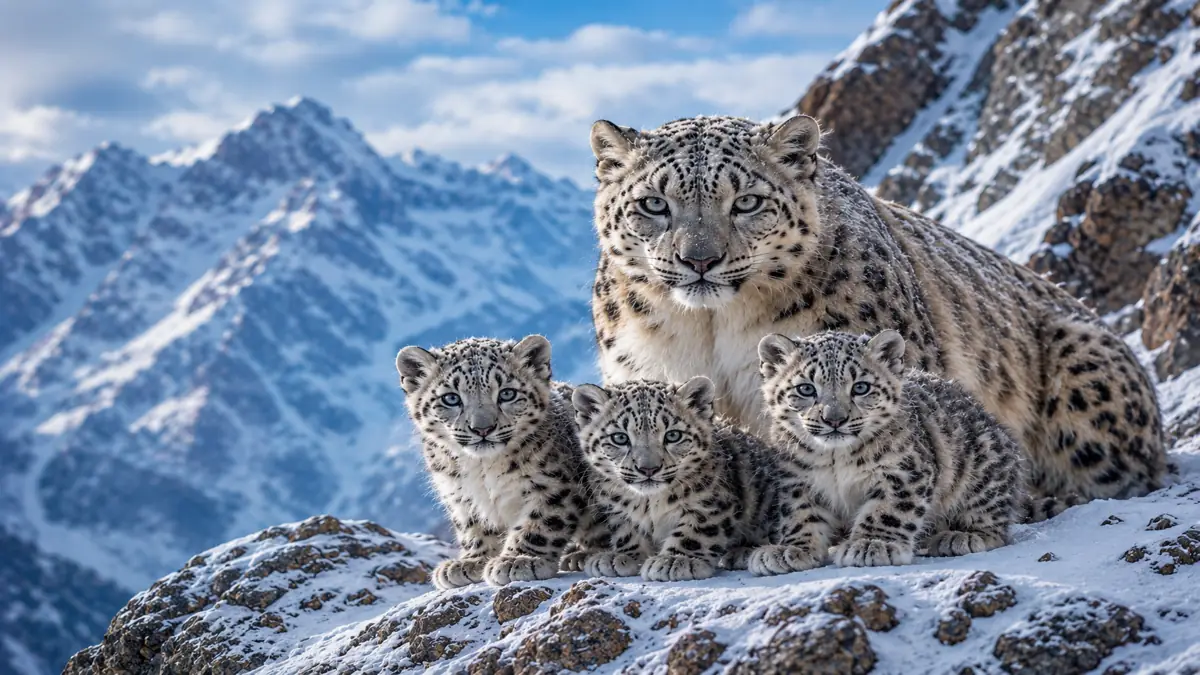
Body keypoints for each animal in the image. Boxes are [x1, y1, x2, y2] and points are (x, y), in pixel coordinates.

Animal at [395, 335, 606, 589]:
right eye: (451, 398)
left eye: (507, 394)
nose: (482, 428)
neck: (482, 468)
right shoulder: (460, 495)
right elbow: (473, 527)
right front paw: (472, 561)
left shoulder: (554, 487)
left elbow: (541, 523)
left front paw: (518, 560)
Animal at [571, 376, 776, 582]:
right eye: (620, 438)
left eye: (673, 435)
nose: (648, 468)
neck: (649, 504)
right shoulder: (615, 509)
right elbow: (625, 531)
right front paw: (621, 557)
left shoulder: (711, 504)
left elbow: (696, 532)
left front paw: (675, 560)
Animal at [752, 329, 1022, 574]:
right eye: (806, 389)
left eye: (860, 387)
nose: (834, 419)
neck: (835, 459)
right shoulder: (797, 480)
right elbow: (801, 515)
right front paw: (791, 549)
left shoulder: (903, 472)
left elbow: (887, 510)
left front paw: (870, 543)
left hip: (983, 470)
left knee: (994, 521)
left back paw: (959, 536)